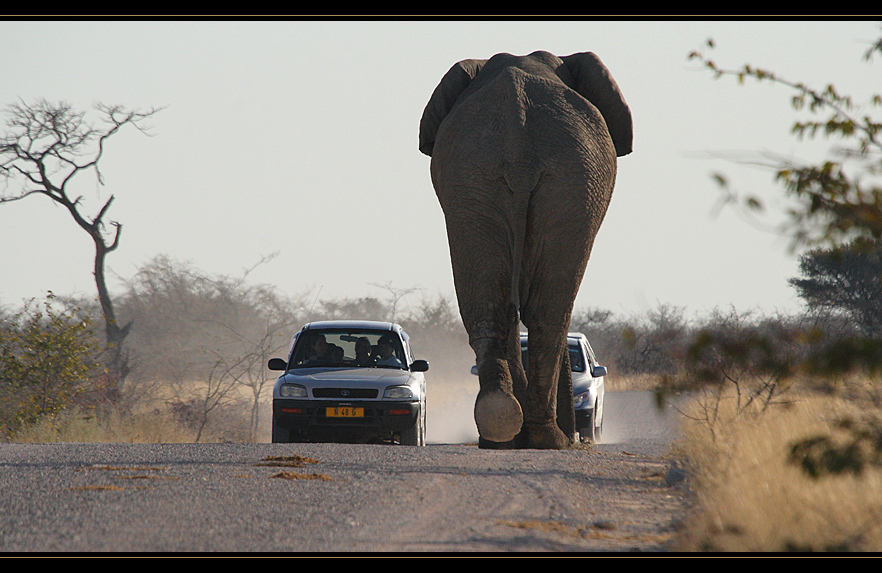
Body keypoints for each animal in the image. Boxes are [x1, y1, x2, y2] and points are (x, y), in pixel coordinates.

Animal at [418, 51, 628, 450]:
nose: (578, 435)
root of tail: (518, 150)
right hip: (572, 183)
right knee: (549, 314)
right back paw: (550, 439)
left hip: (474, 180)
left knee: (492, 306)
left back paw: (500, 429)